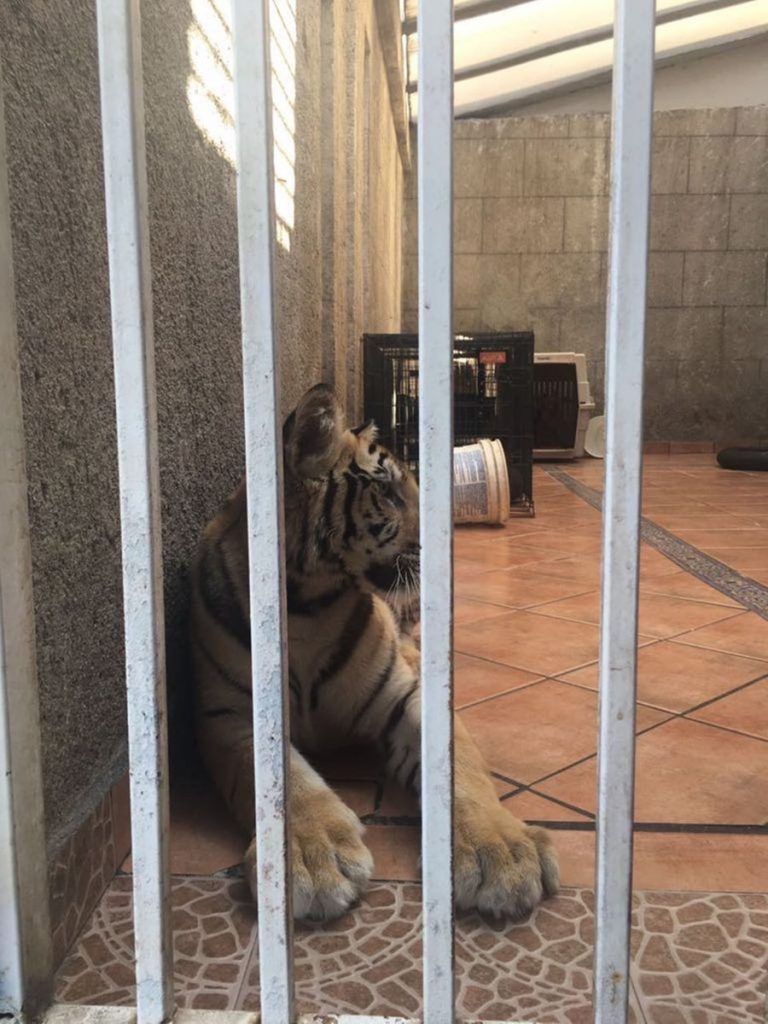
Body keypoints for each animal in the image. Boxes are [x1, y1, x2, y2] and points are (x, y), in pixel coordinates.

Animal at [191, 383, 559, 921]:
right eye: (387, 492)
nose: (444, 539)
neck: (308, 606)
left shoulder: (406, 697)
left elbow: (461, 769)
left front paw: (501, 852)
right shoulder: (231, 718)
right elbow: (283, 783)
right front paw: (314, 858)